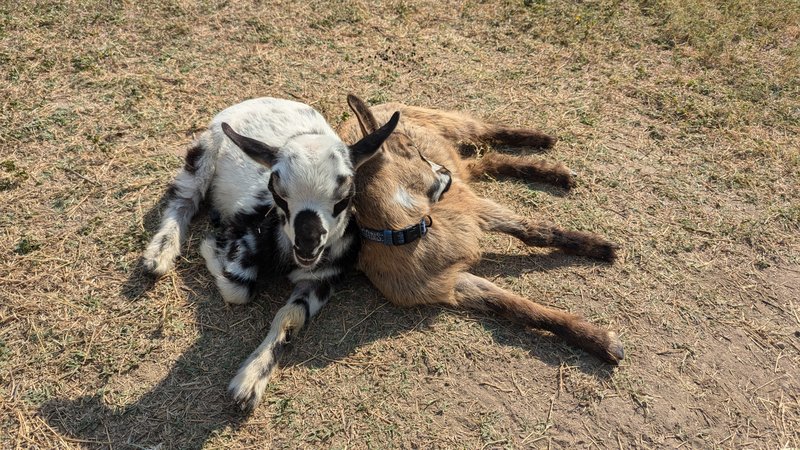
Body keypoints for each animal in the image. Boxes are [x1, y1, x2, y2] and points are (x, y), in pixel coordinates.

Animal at [142, 97, 398, 409]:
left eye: (345, 199)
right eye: (278, 195)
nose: (308, 245)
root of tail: (261, 101)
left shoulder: (322, 280)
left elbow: (289, 317)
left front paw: (250, 382)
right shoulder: (245, 235)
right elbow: (237, 289)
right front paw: (213, 245)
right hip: (203, 154)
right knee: (183, 200)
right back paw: (159, 255)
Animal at [340, 95, 624, 363]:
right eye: (410, 148)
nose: (443, 170)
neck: (412, 231)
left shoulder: (478, 210)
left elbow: (533, 232)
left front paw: (601, 247)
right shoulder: (452, 282)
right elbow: (510, 304)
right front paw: (601, 341)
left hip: (445, 122)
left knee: (483, 130)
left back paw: (543, 141)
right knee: (487, 161)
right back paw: (550, 170)